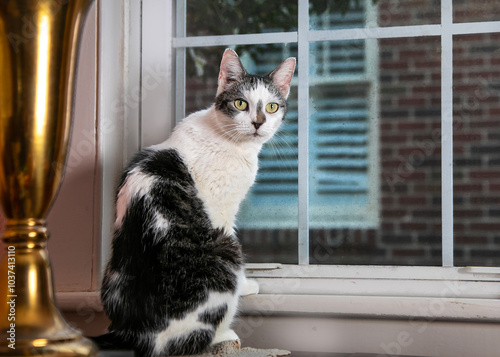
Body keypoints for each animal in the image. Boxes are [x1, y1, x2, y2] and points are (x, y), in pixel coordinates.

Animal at [94, 48, 292, 356]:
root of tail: (132, 333)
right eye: (241, 103)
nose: (258, 123)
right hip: (225, 249)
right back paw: (224, 335)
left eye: (272, 107)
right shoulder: (221, 208)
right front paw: (247, 285)